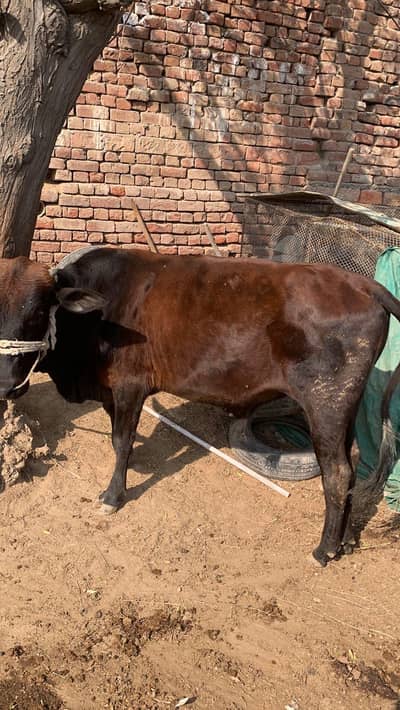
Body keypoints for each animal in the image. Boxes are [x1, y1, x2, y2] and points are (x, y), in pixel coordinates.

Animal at [0, 246, 399, 567]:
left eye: (39, 312)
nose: (6, 384)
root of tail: (359, 283)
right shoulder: (112, 393)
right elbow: (121, 439)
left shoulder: (130, 385)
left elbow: (121, 441)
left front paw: (113, 496)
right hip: (345, 409)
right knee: (351, 470)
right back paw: (345, 541)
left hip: (325, 404)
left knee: (338, 473)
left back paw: (324, 550)